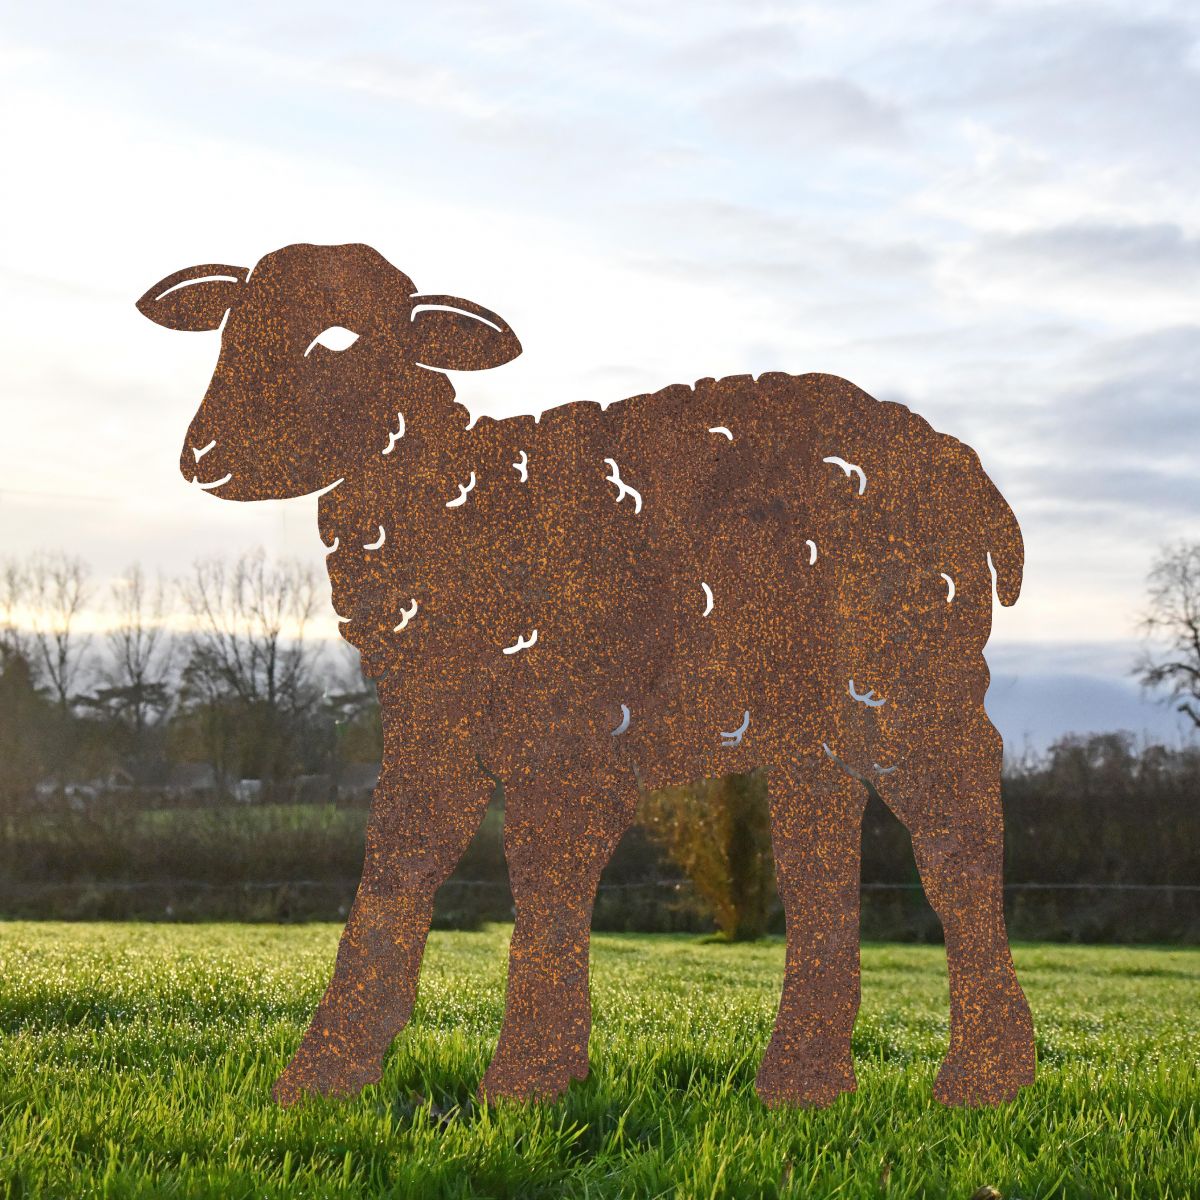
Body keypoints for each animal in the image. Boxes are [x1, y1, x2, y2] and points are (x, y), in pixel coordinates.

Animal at [137, 242, 1036, 1110]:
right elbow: (396, 868)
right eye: (227, 329)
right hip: (815, 719)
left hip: (912, 673)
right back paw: (804, 1084)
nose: (203, 455)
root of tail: (970, 474)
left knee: (959, 839)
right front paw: (325, 1076)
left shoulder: (568, 728)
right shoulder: (435, 725)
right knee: (820, 858)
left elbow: (545, 878)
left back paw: (985, 1078)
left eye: (339, 339)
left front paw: (528, 1080)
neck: (461, 500)